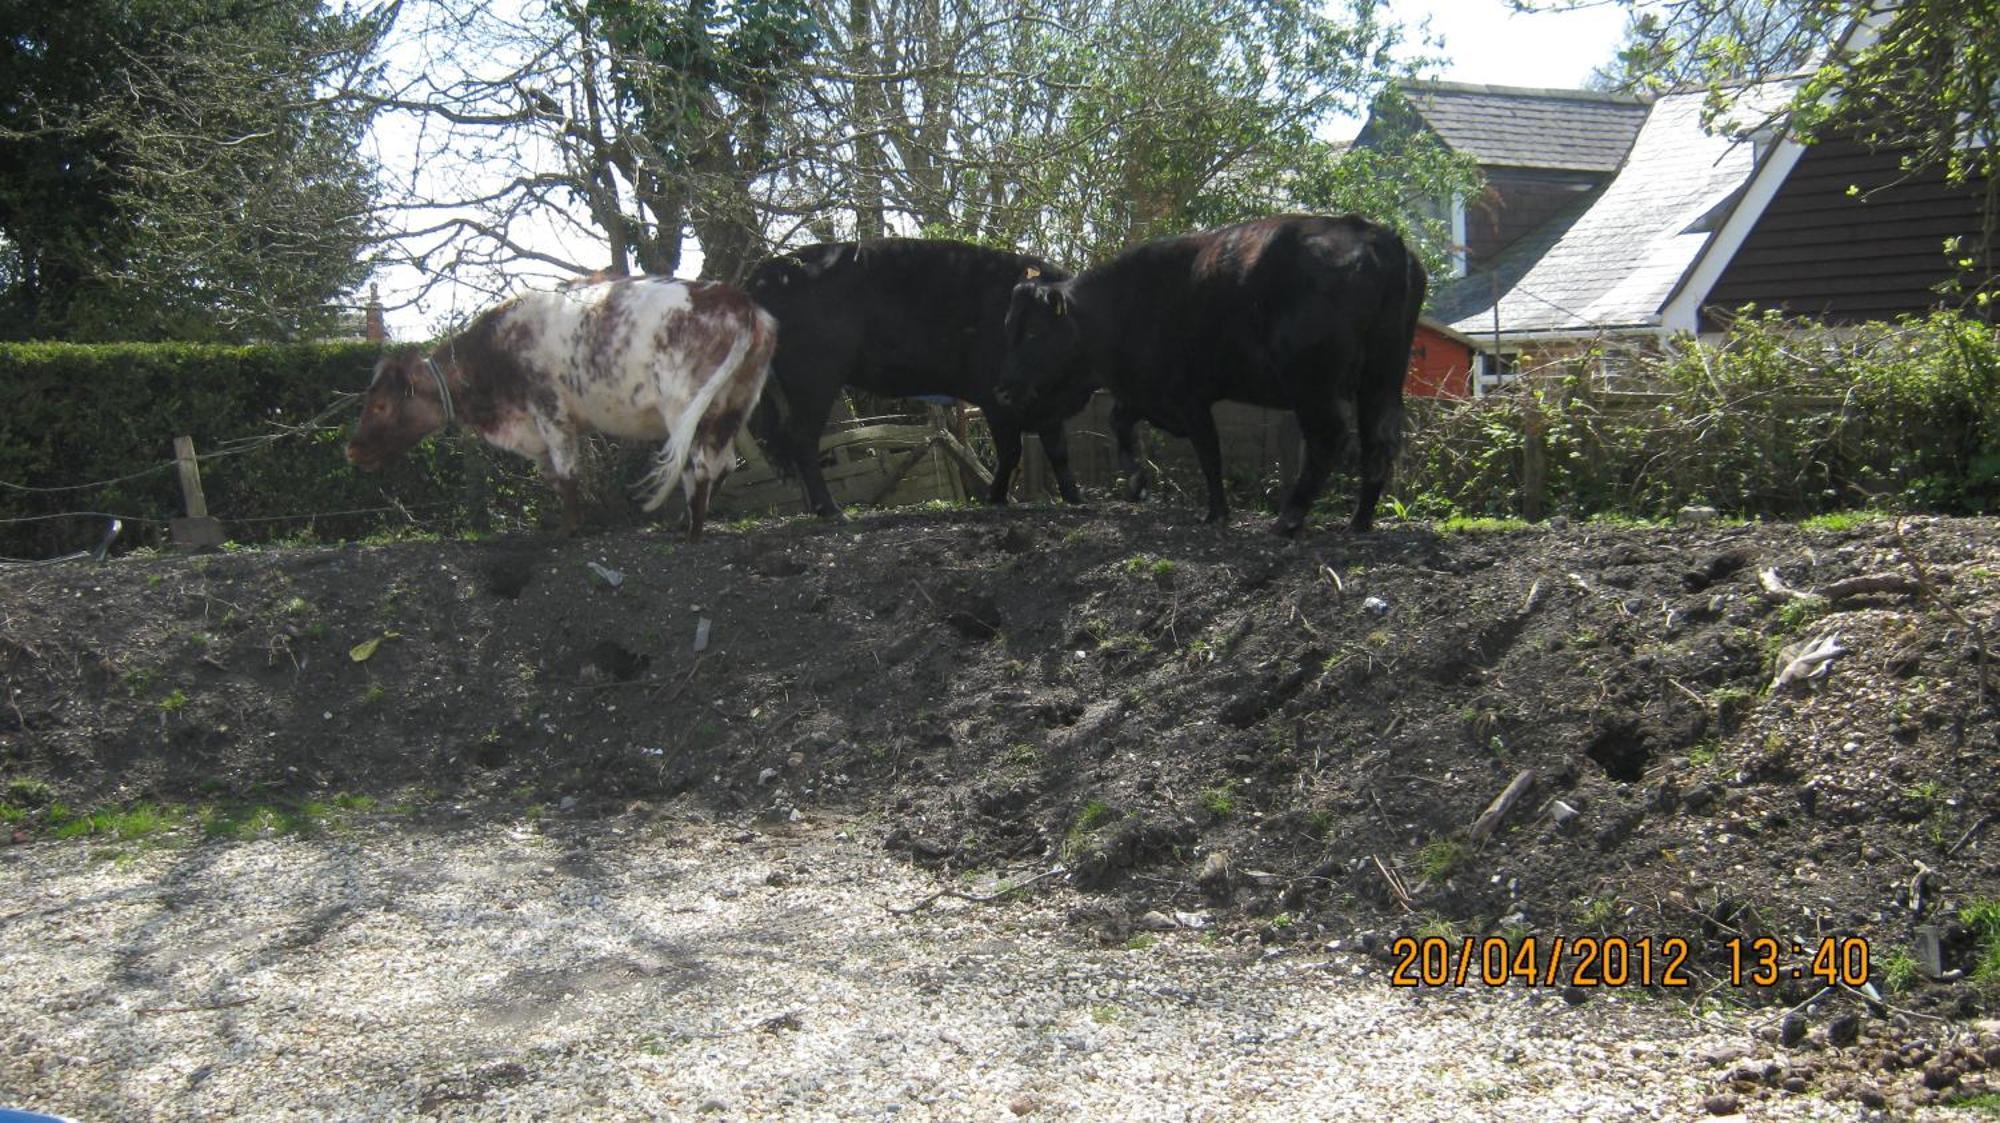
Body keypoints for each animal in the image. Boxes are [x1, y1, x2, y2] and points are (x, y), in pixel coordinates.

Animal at [352, 275, 772, 539]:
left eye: (381, 406)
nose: (351, 450)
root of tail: (738, 301)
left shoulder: (550, 413)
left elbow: (567, 474)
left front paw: (567, 530)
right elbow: (553, 476)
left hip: (685, 410)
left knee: (697, 467)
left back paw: (692, 533)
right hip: (732, 410)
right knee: (721, 466)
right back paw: (688, 523)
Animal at [748, 239, 1096, 515]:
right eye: (1029, 331)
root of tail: (764, 274)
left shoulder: (1047, 409)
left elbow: (1058, 451)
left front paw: (1076, 498)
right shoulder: (996, 401)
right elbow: (1011, 452)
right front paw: (997, 498)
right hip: (814, 380)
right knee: (801, 438)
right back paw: (832, 511)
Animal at [996, 217, 1424, 539]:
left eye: (1032, 333)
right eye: (1008, 328)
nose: (1004, 389)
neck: (1120, 305)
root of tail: (1377, 236)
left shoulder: (1189, 397)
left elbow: (1208, 452)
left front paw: (1215, 512)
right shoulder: (1149, 394)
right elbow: (1120, 421)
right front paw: (1137, 482)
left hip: (1313, 387)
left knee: (1328, 439)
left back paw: (1289, 518)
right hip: (1382, 380)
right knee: (1380, 441)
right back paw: (1359, 520)